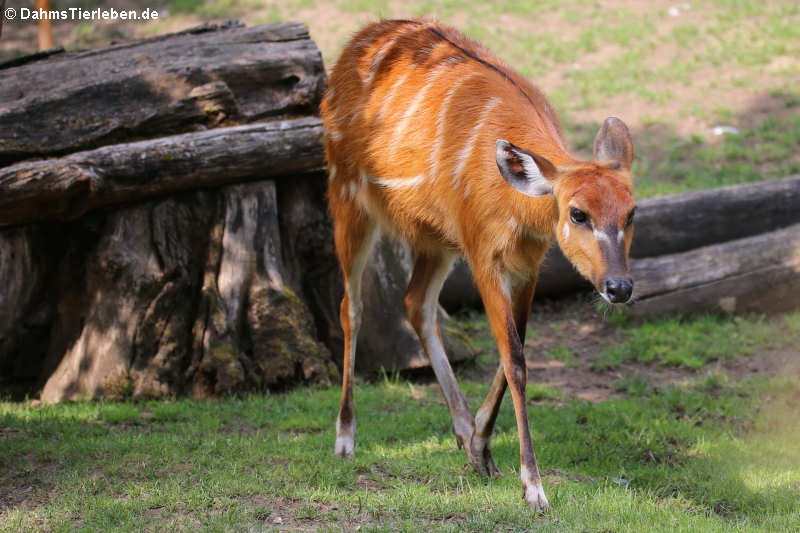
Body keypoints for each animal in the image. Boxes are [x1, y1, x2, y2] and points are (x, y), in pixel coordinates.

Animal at [322, 18, 636, 512]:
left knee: (415, 302)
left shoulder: (527, 264)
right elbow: (515, 360)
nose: (619, 287)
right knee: (351, 306)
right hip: (347, 192)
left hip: (434, 236)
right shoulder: (482, 252)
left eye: (631, 213)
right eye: (577, 213)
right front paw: (534, 489)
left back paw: (461, 432)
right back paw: (345, 438)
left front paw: (480, 449)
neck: (519, 204)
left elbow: (515, 352)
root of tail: (356, 42)